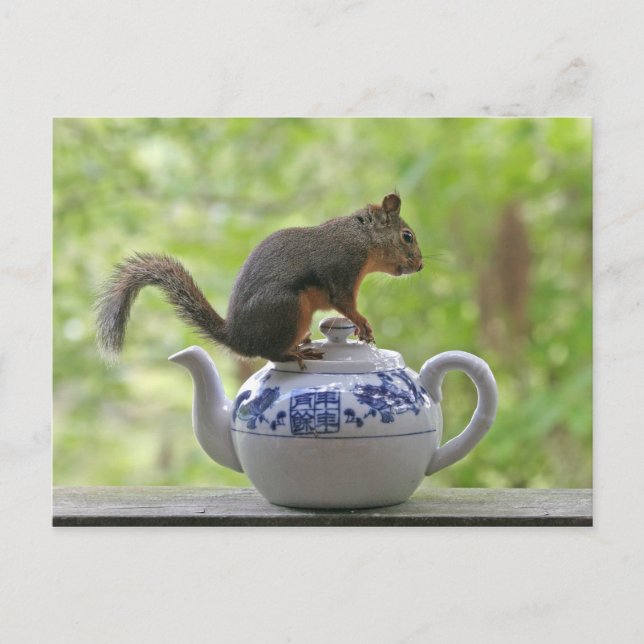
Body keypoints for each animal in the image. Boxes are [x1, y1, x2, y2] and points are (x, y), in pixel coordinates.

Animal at [96, 192, 423, 368]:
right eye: (407, 236)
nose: (420, 265)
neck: (363, 238)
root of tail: (238, 338)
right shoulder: (343, 271)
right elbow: (344, 304)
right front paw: (363, 324)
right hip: (290, 308)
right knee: (272, 352)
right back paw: (296, 352)